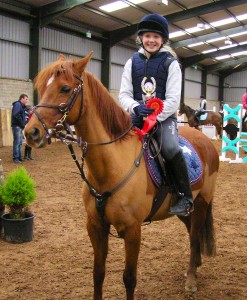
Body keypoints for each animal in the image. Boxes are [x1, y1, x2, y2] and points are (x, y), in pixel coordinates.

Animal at [24, 52, 219, 300]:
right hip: (185, 207)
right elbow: (98, 273)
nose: (31, 132)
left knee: (194, 237)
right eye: (40, 87)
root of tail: (205, 141)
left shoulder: (133, 230)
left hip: (202, 201)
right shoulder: (95, 226)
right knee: (191, 230)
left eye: (65, 88)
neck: (110, 167)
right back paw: (195, 266)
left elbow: (129, 278)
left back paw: (192, 278)